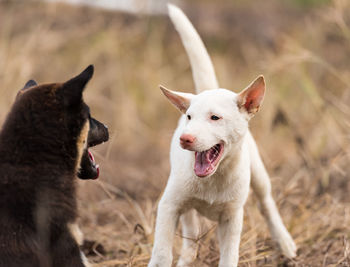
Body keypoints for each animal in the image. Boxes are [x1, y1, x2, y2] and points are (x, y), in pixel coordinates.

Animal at [149, 4, 296, 267]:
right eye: (189, 117)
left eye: (215, 118)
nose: (185, 139)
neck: (214, 179)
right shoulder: (168, 205)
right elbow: (162, 251)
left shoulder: (232, 218)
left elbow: (229, 255)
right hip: (182, 202)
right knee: (190, 231)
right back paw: (187, 257)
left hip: (258, 173)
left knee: (267, 203)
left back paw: (285, 242)